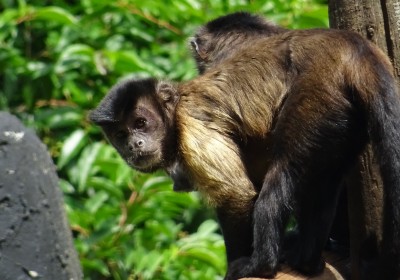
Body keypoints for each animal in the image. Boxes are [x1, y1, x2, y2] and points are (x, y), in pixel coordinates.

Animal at [90, 18, 400, 280]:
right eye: (121, 135)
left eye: (141, 123)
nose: (134, 144)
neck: (175, 112)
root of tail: (356, 49)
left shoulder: (191, 124)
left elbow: (235, 195)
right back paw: (308, 262)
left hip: (318, 95)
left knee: (284, 170)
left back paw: (263, 263)